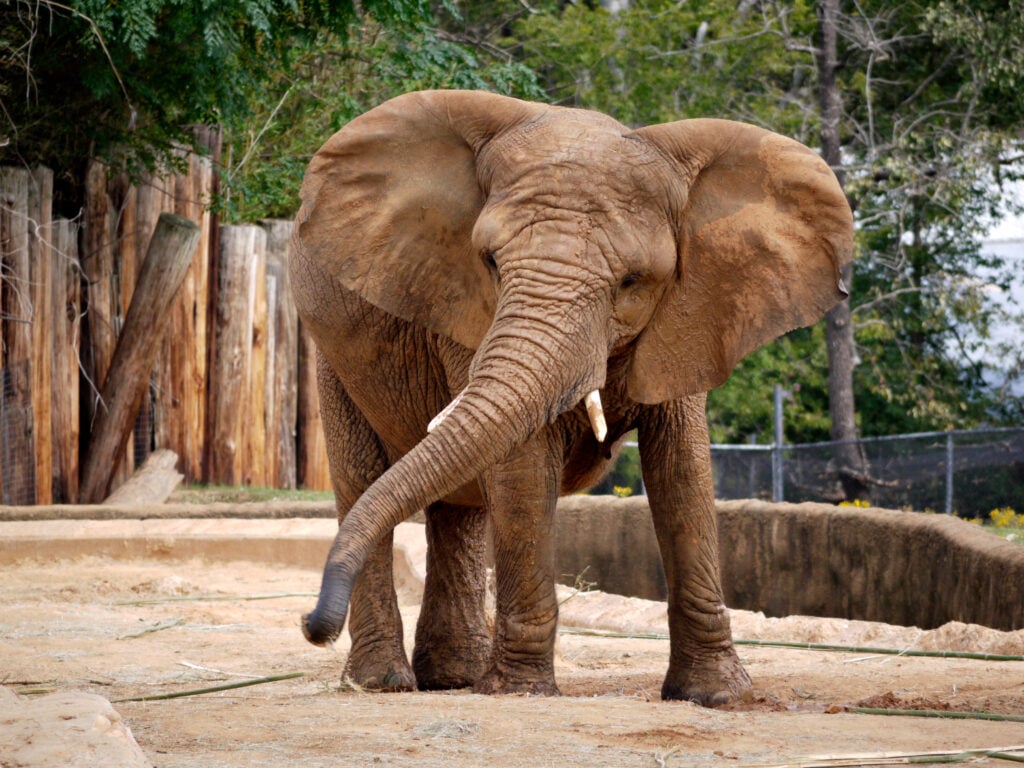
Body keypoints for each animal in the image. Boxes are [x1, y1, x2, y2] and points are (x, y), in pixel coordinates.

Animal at [290, 88, 856, 704]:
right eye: (489, 261)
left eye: (633, 281)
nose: (309, 625)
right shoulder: (463, 309)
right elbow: (523, 466)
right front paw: (520, 692)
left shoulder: (691, 312)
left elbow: (683, 470)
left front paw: (717, 696)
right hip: (331, 348)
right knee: (365, 476)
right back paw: (384, 684)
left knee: (456, 506)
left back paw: (453, 678)